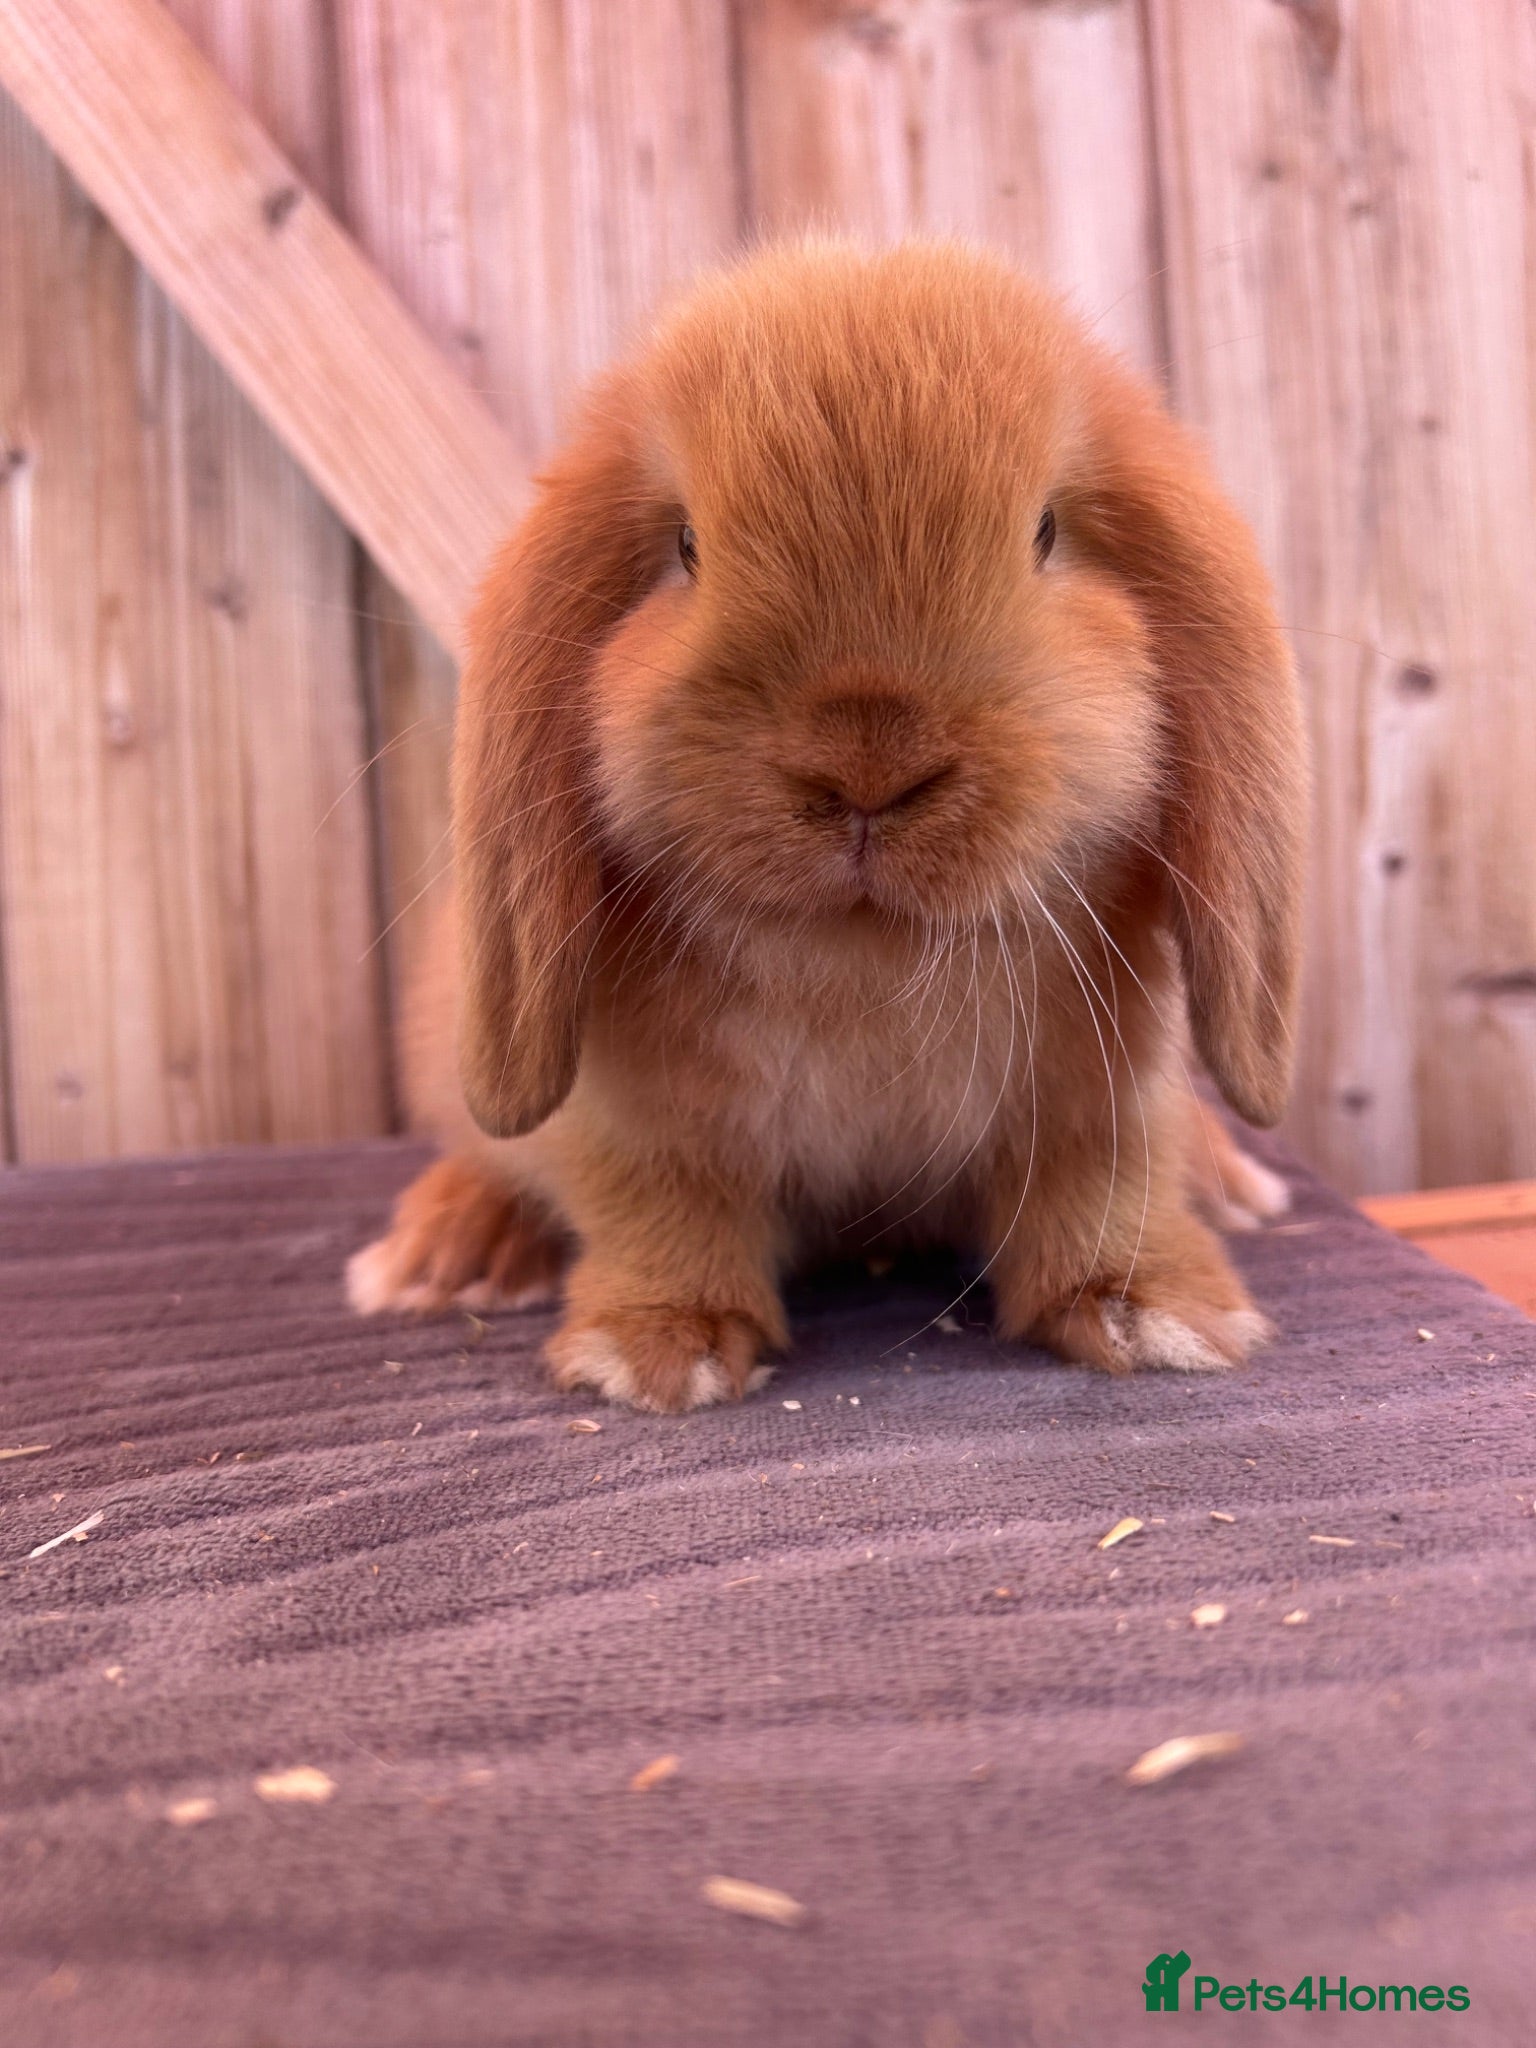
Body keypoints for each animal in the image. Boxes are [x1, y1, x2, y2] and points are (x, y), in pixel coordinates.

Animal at [347, 240, 1306, 1412]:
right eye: (686, 544)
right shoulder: (635, 1124)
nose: (866, 761)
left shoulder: (1105, 1101)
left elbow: (1105, 1189)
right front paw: (659, 1350)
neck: (863, 965)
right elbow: (659, 1202)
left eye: (1045, 534)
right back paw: (451, 1252)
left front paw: (1157, 1312)